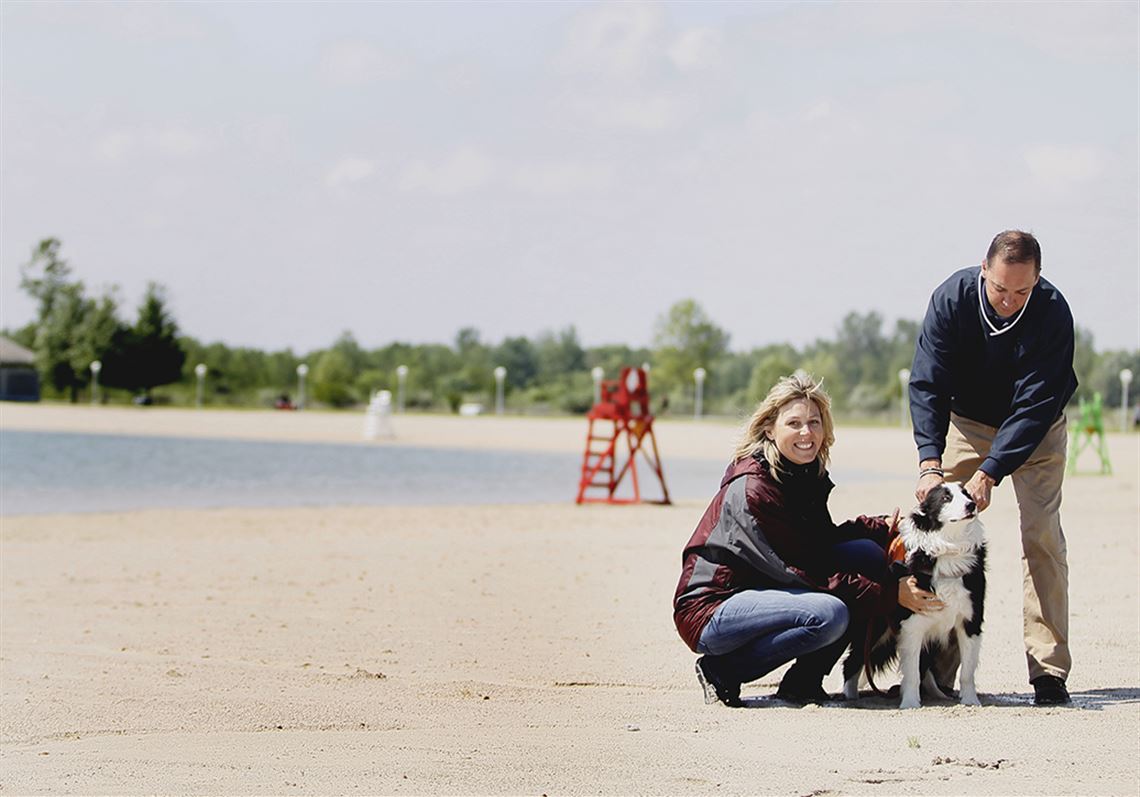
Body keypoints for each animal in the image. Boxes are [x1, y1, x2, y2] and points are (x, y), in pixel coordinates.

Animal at [843, 483, 984, 706]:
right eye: (946, 498)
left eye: (967, 494)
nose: (971, 505)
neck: (948, 548)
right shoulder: (911, 623)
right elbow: (912, 672)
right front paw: (909, 703)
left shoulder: (970, 619)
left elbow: (967, 671)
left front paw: (970, 701)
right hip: (876, 625)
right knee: (853, 661)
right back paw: (851, 697)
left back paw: (938, 693)